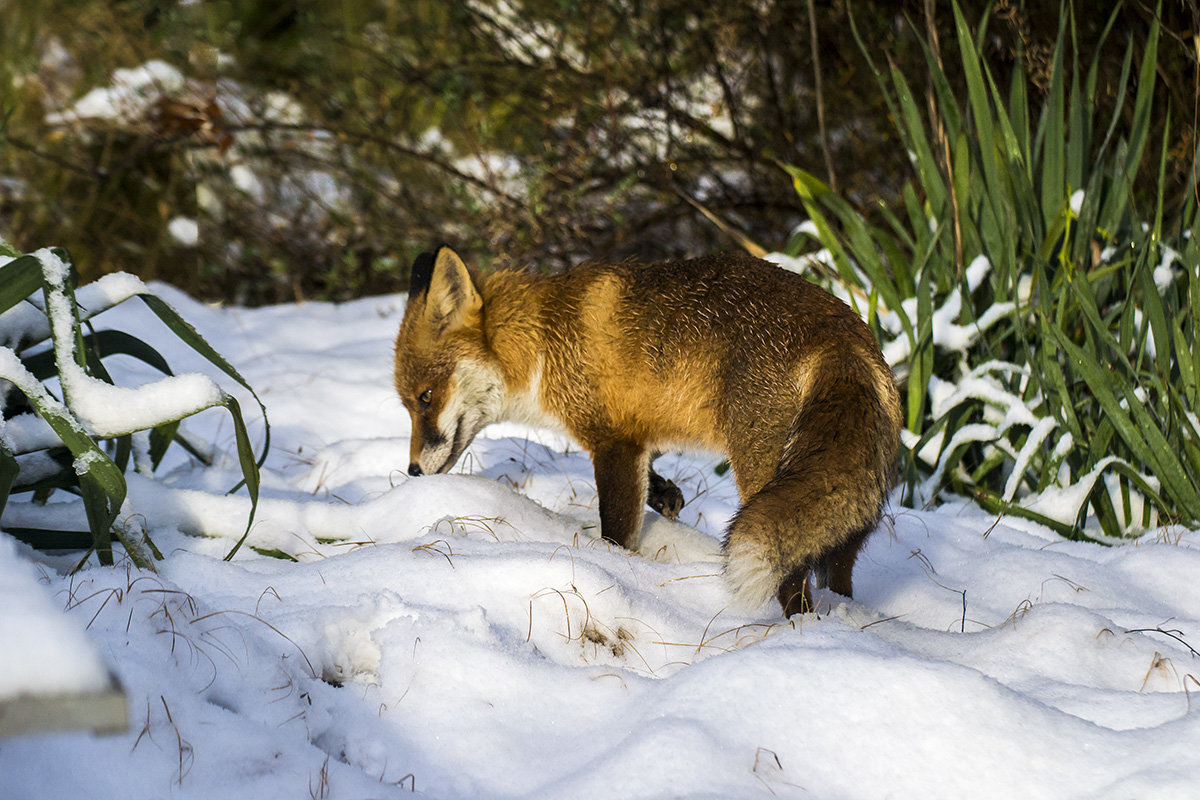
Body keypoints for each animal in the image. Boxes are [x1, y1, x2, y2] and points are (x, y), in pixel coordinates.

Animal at [393, 247, 902, 618]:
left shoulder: (612, 443)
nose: (413, 471)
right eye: (407, 404)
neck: (540, 343)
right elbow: (654, 484)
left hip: (763, 478)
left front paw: (616, 569)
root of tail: (840, 337)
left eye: (426, 397)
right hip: (855, 503)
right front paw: (666, 497)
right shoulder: (640, 438)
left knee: (794, 579)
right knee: (839, 565)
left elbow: (617, 533)